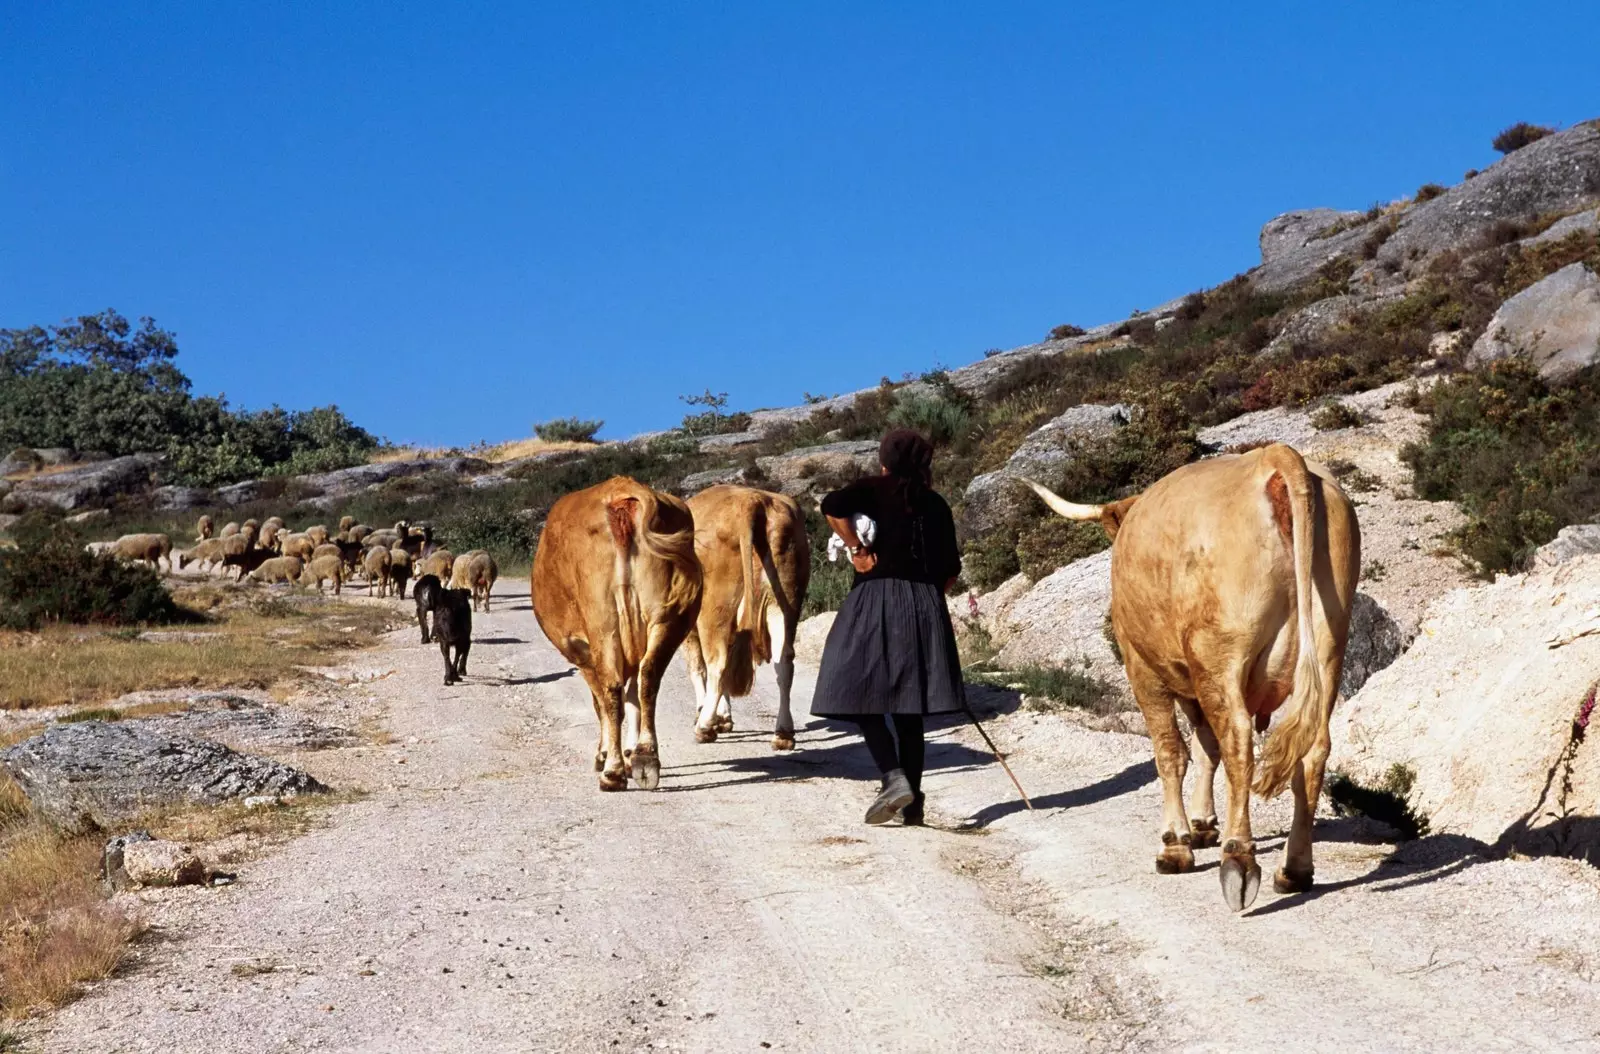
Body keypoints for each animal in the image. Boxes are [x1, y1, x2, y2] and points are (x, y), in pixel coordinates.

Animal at [531, 479, 700, 793]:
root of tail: (623, 494)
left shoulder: (582, 652)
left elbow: (602, 702)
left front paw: (606, 753)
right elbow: (632, 698)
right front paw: (630, 753)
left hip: (603, 622)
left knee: (610, 690)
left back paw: (612, 772)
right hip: (668, 618)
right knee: (648, 677)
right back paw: (646, 757)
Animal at [681, 483, 812, 751]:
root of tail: (753, 500)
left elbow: (697, 667)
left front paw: (707, 714)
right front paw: (724, 717)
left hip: (715, 608)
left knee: (718, 662)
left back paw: (704, 727)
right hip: (785, 602)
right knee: (784, 661)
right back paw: (783, 734)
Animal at [1030, 441, 1356, 908]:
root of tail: (1273, 457)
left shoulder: (1144, 669)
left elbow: (1172, 752)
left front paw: (1175, 842)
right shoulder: (1192, 682)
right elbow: (1205, 748)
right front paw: (1202, 824)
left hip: (1219, 655)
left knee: (1238, 742)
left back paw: (1238, 860)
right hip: (1329, 647)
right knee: (1310, 751)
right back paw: (1294, 869)